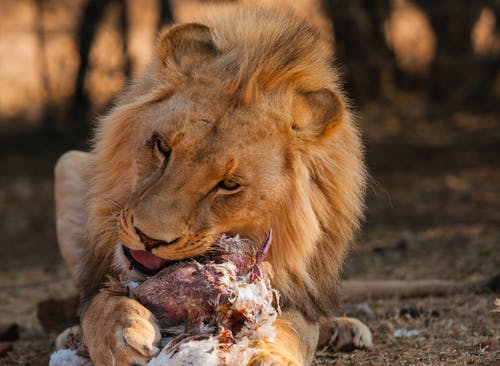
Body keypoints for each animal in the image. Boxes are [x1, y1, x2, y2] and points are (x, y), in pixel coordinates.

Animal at [55, 1, 376, 364]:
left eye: (229, 184)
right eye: (162, 146)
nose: (149, 239)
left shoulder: (293, 292)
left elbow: (288, 327)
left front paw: (267, 353)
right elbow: (100, 304)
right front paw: (124, 333)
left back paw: (344, 328)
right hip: (67, 162)